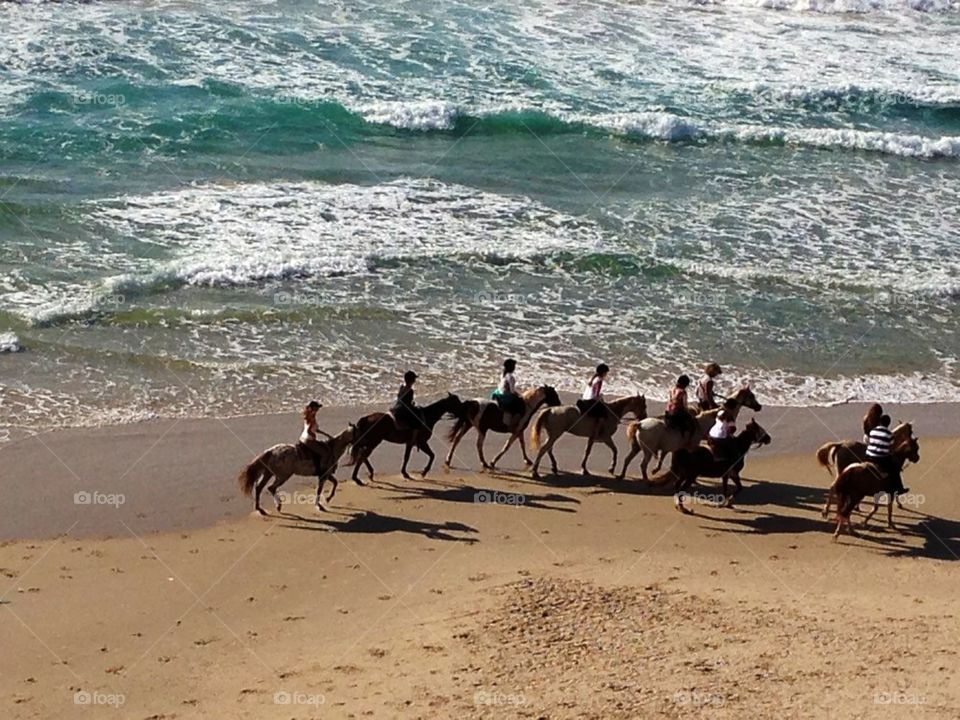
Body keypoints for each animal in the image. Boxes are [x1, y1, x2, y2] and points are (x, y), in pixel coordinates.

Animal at [620, 386, 760, 480]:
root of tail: (640, 424)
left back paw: (621, 475)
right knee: (642, 465)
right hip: (647, 451)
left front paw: (657, 470)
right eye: (752, 396)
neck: (703, 423)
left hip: (637, 447)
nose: (759, 407)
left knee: (627, 459)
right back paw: (646, 480)